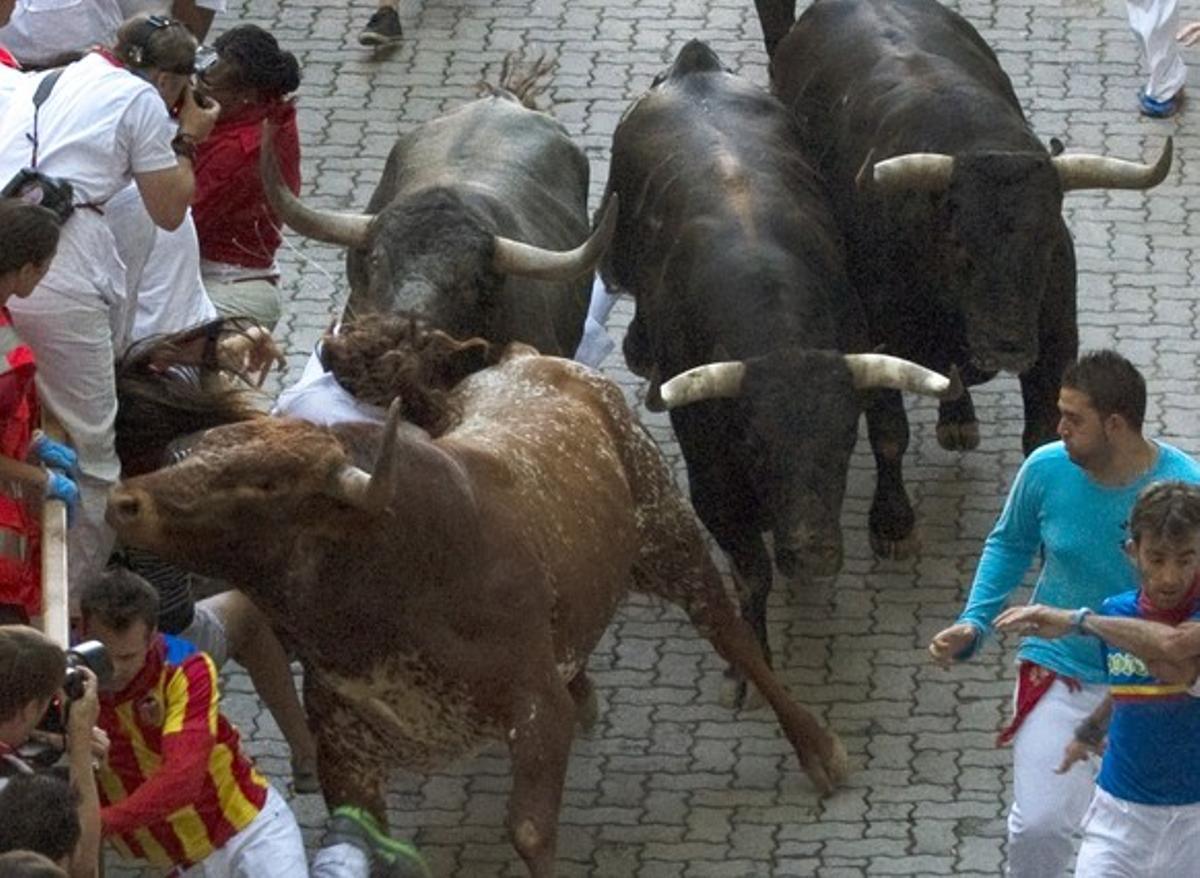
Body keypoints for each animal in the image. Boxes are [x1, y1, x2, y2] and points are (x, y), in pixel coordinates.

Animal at [108, 340, 849, 873]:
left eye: (263, 483)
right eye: (197, 451)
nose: (126, 500)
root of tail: (532, 359)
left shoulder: (534, 713)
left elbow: (530, 832)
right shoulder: (347, 751)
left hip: (670, 538)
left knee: (731, 634)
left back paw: (819, 749)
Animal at [600, 39, 964, 686]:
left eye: (843, 439)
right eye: (752, 441)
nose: (813, 549)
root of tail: (694, 70)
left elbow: (889, 436)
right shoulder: (711, 474)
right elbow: (751, 570)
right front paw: (752, 666)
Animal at [758, 0, 1171, 558]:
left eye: (1048, 239)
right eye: (959, 244)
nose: (1007, 344)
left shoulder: (1056, 338)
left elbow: (1042, 434)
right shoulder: (874, 342)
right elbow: (890, 432)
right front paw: (891, 524)